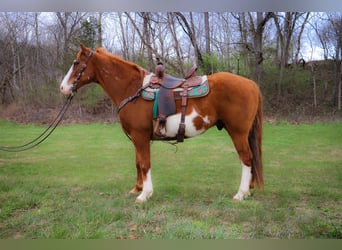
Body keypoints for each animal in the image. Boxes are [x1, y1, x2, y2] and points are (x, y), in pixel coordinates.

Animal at [59, 44, 264, 203]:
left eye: (76, 63)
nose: (62, 88)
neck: (132, 89)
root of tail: (251, 84)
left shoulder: (140, 136)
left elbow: (144, 164)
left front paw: (144, 194)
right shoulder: (138, 138)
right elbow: (138, 162)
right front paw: (137, 188)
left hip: (238, 132)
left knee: (246, 158)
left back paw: (241, 194)